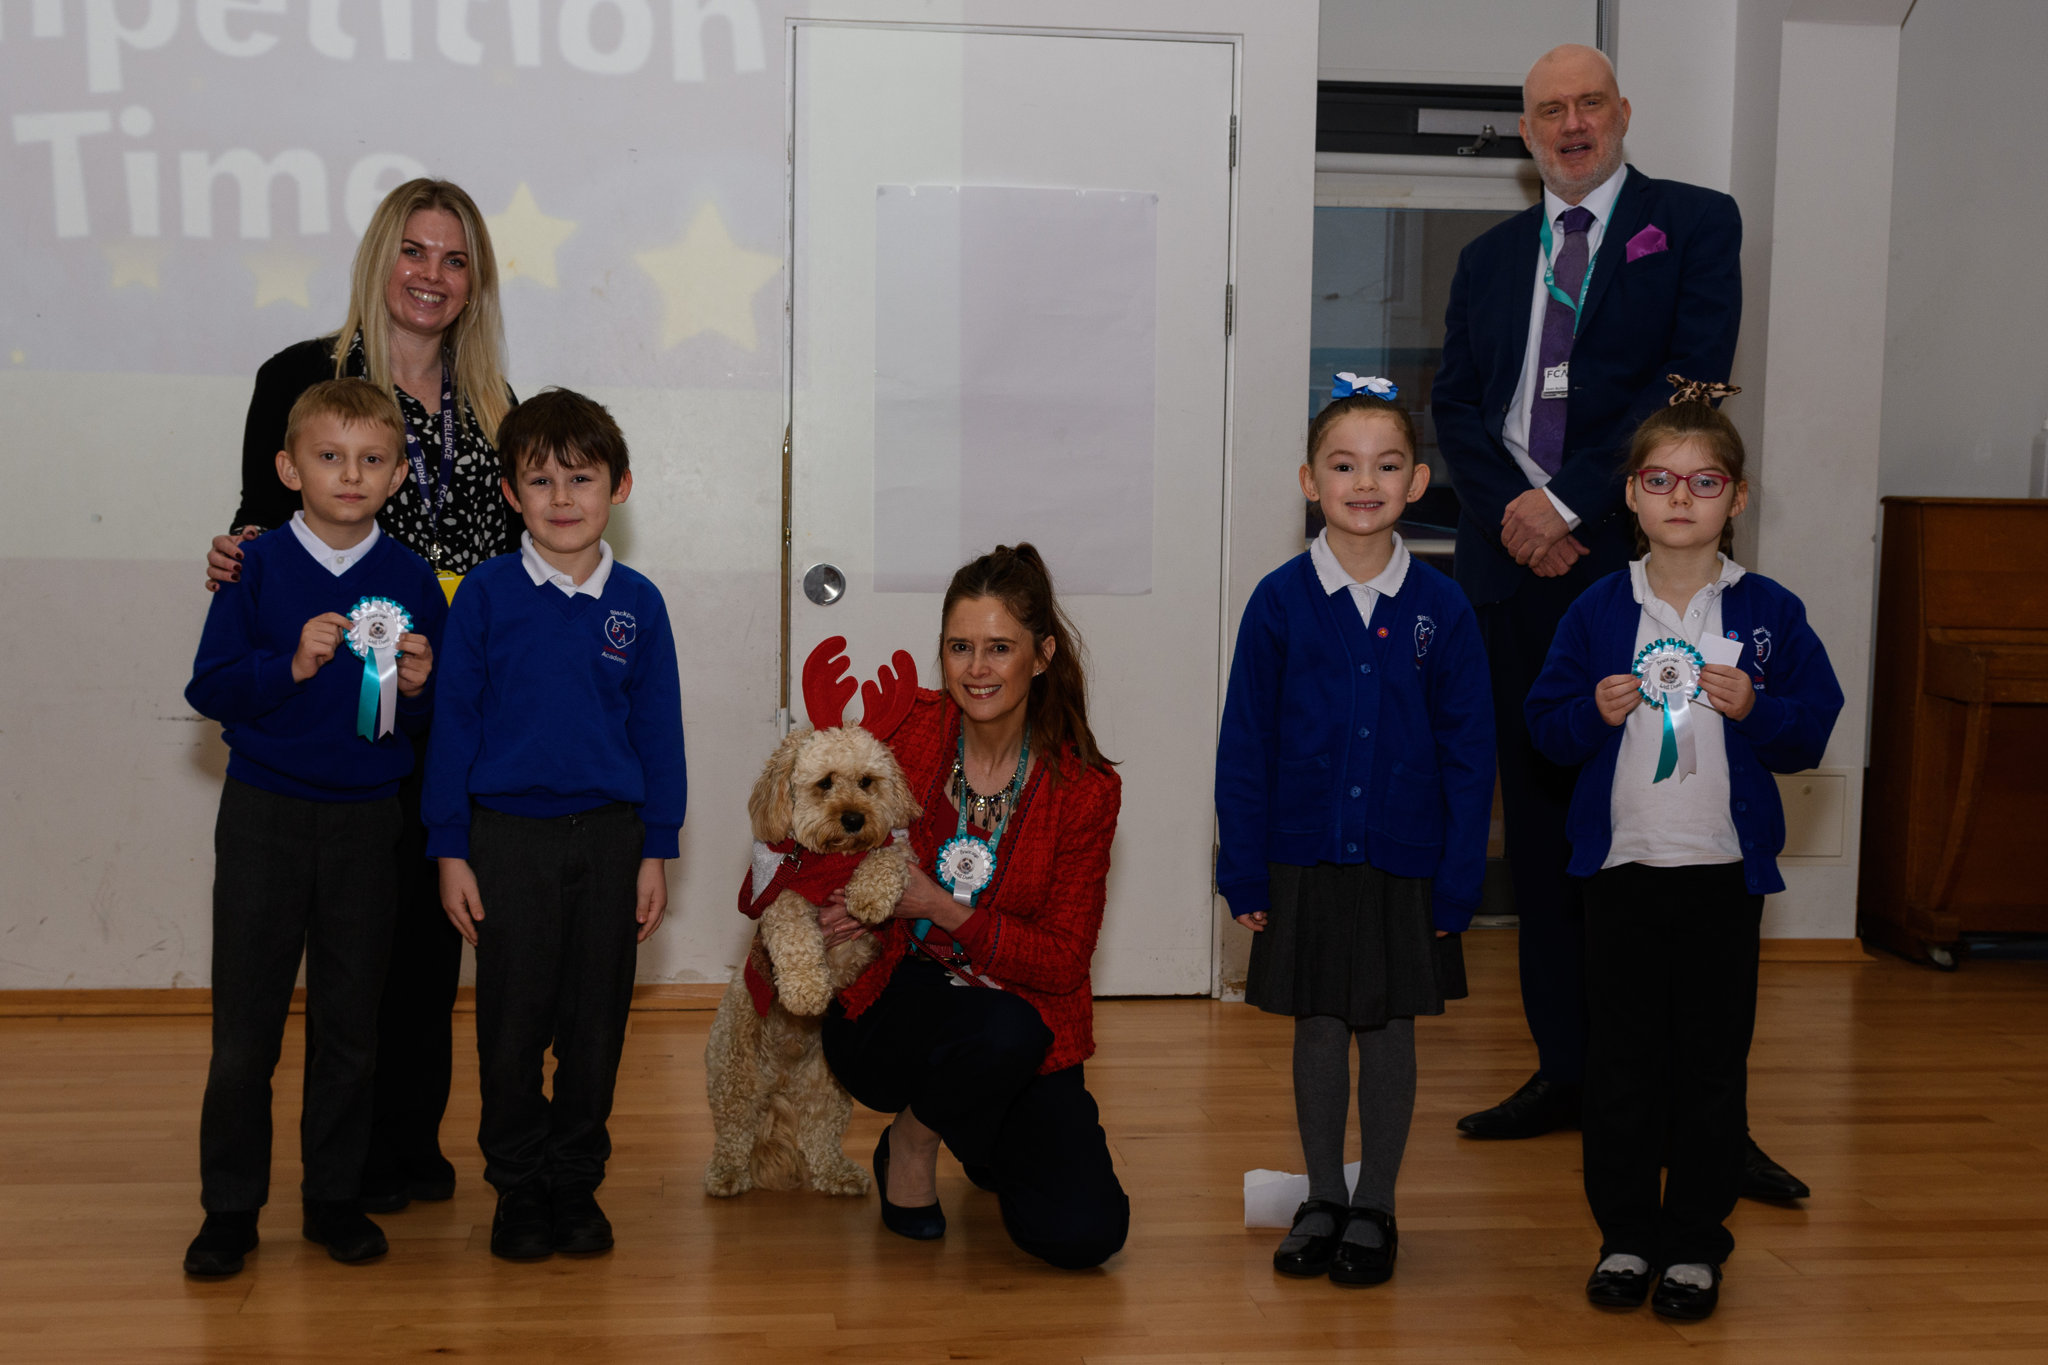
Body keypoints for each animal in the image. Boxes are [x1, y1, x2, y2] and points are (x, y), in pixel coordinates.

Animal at [712, 724, 921, 1195]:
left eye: (867, 781)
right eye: (825, 783)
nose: (854, 819)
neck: (834, 862)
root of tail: (781, 1082)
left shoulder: (897, 854)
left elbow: (887, 856)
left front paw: (869, 896)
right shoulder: (782, 897)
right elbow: (794, 934)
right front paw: (806, 991)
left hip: (829, 1092)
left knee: (820, 1139)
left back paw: (839, 1174)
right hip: (735, 1078)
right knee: (733, 1134)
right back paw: (727, 1174)